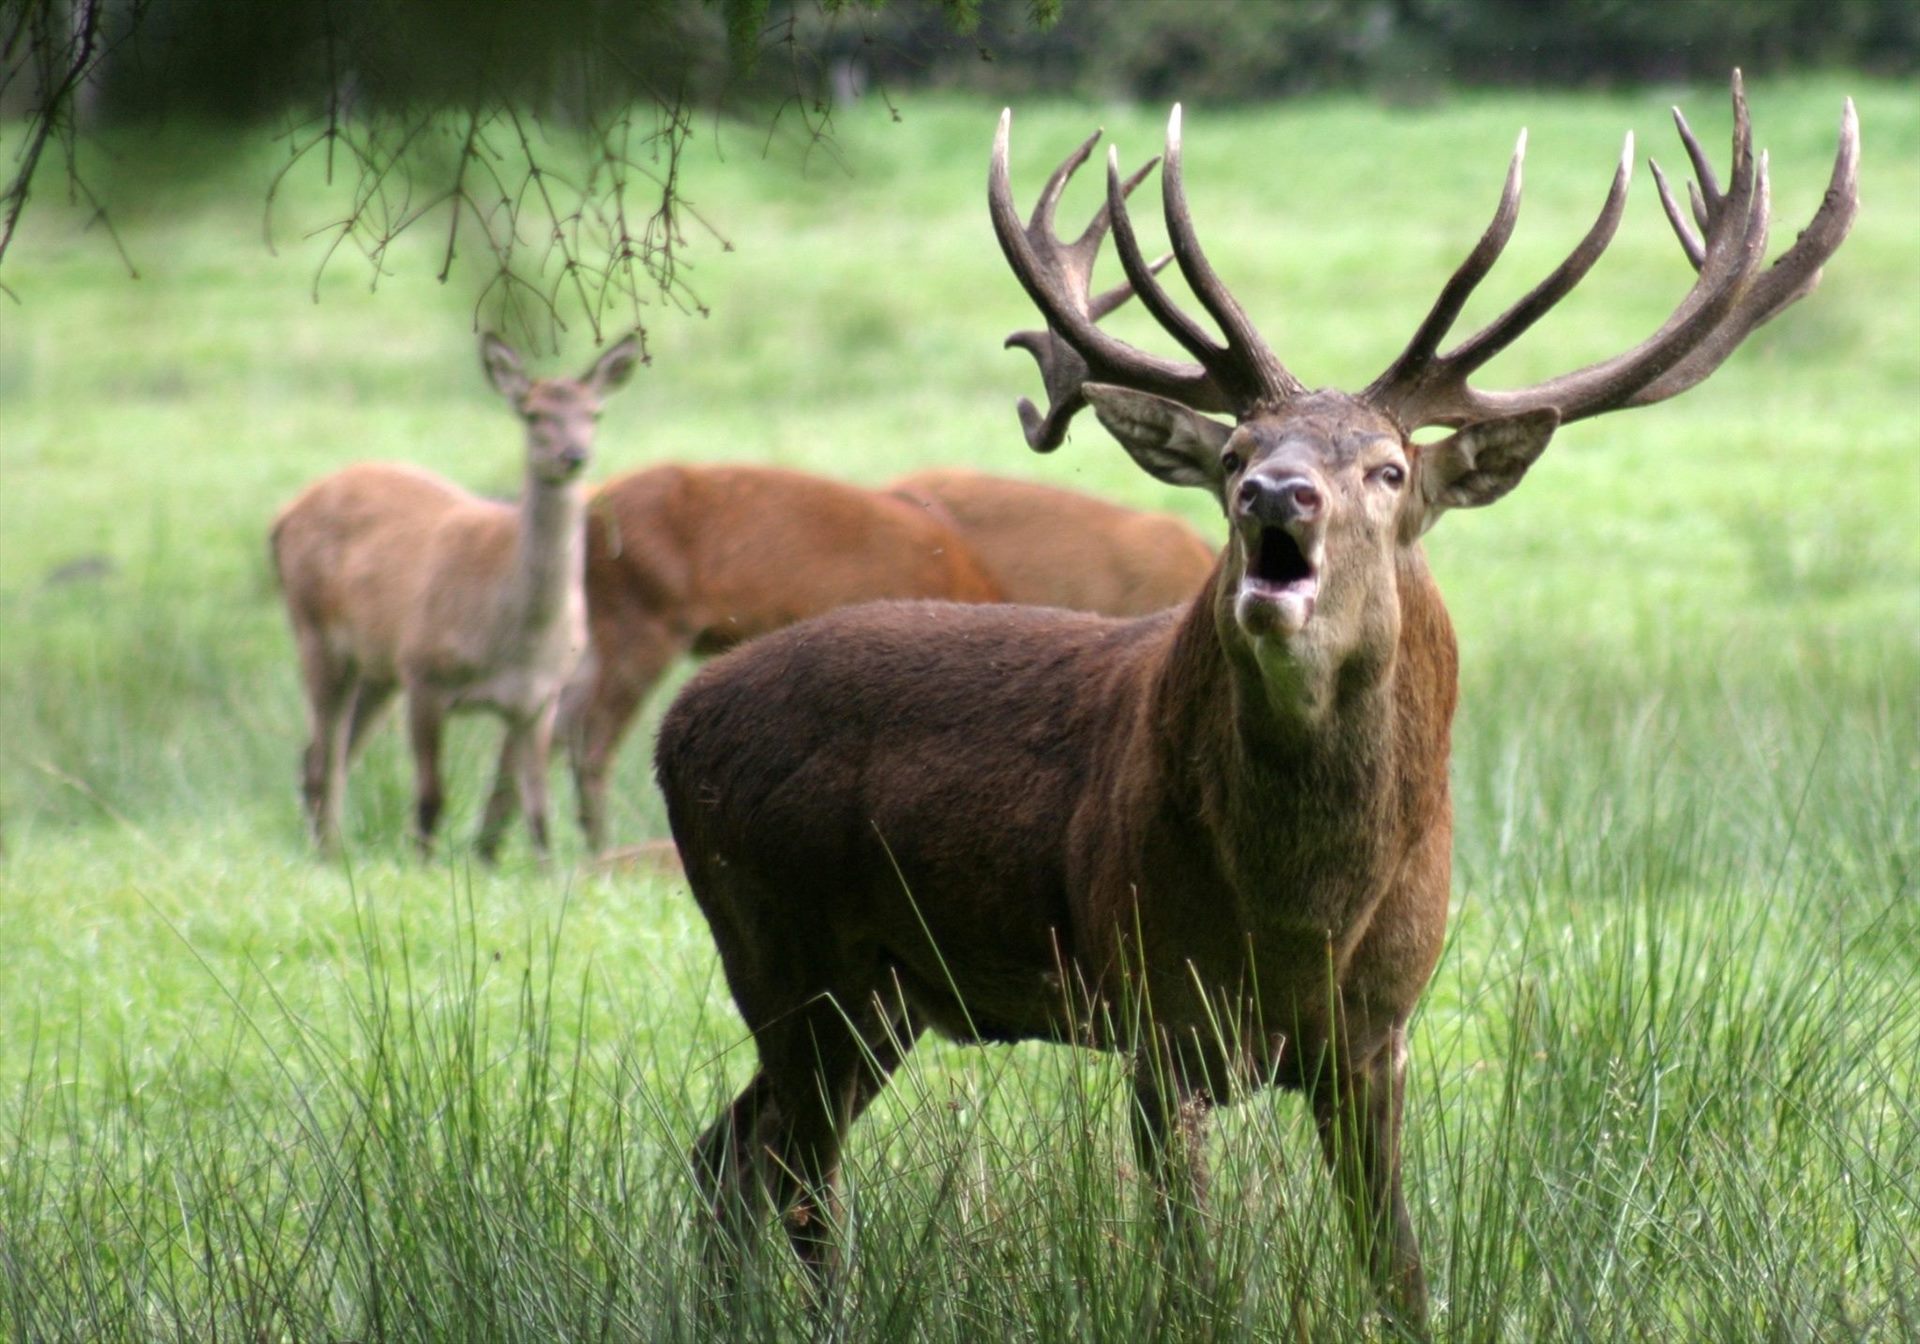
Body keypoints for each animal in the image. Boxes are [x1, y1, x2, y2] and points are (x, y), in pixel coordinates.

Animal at [273, 331, 639, 862]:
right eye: (532, 414)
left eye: (595, 413)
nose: (573, 456)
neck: (518, 640)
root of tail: (282, 516)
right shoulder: (425, 673)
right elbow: (431, 796)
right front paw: (423, 867)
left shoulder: (540, 697)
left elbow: (537, 807)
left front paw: (549, 872)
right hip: (315, 633)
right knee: (325, 755)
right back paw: (329, 854)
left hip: (378, 667)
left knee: (323, 754)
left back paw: (327, 847)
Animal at [654, 74, 1856, 1328]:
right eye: (1235, 453)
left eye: (1387, 468)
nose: (1277, 495)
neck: (1299, 919)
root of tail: (673, 729)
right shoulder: (1153, 1011)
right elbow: (1188, 1273)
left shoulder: (1378, 1037)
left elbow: (1399, 1271)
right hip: (785, 951)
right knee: (792, 1175)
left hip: (879, 997)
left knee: (731, 1152)